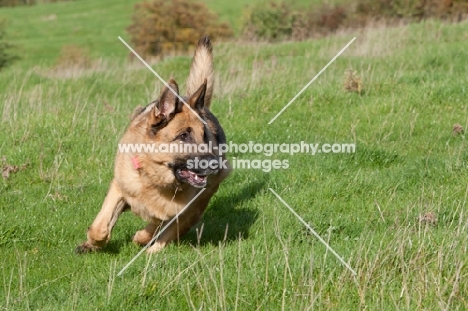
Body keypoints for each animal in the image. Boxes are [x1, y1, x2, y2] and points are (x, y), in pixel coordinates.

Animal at [75, 37, 230, 256]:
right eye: (183, 136)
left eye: (205, 135)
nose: (216, 165)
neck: (154, 177)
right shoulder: (119, 187)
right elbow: (100, 226)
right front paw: (93, 242)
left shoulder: (185, 209)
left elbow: (160, 224)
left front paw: (142, 237)